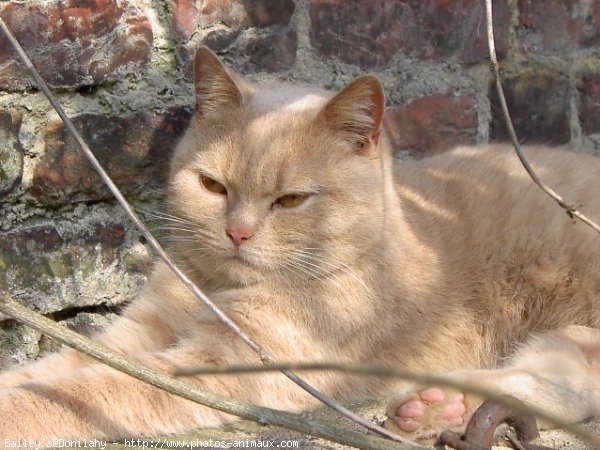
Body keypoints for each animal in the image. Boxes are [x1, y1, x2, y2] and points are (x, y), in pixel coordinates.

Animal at [1, 46, 600, 442]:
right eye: (213, 186)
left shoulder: (231, 365)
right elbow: (52, 370)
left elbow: (88, 389)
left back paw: (438, 408)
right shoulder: (137, 333)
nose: (237, 232)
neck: (216, 289)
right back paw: (441, 407)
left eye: (290, 200)